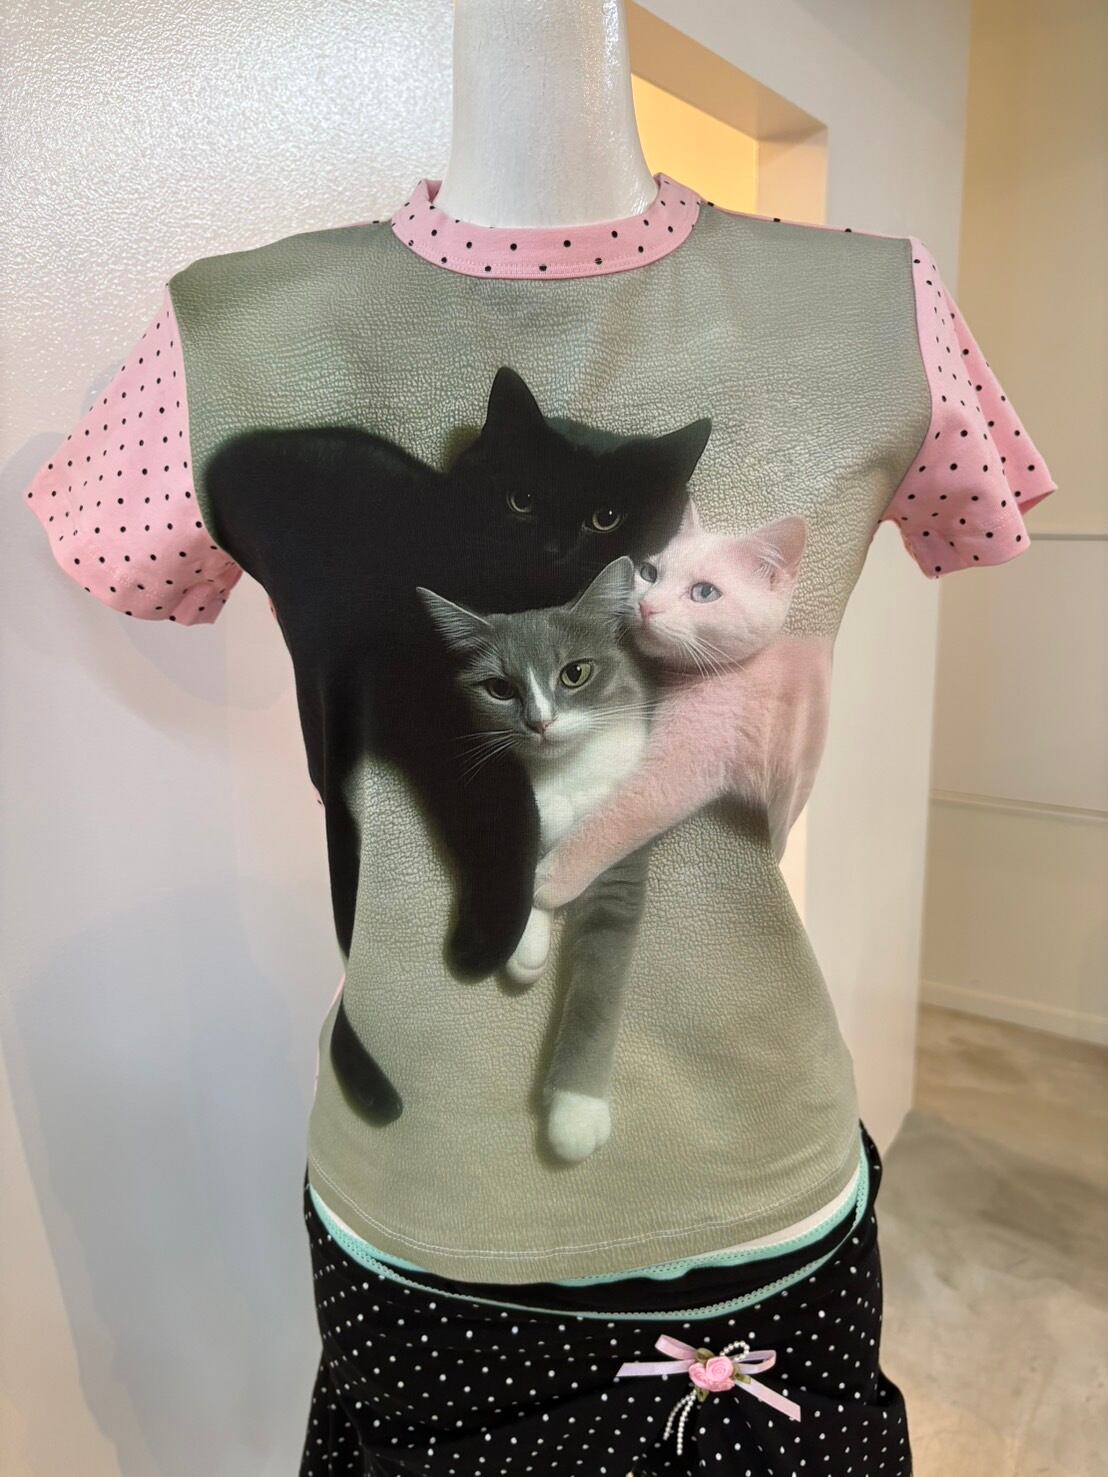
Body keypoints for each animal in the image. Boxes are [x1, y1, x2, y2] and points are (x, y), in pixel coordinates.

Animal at [417, 556, 656, 1162]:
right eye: (499, 688)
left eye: (575, 674)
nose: (540, 722)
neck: (564, 772)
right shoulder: (514, 808)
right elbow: (524, 870)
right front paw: (525, 949)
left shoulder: (621, 840)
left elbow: (598, 983)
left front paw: (575, 1112)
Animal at [534, 498, 833, 914]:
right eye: (649, 573)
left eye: (704, 592)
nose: (647, 606)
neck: (730, 670)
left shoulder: (681, 766)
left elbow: (617, 815)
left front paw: (551, 877)